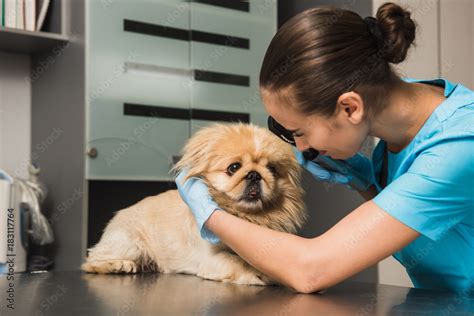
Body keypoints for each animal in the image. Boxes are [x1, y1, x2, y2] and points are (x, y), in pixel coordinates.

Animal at [81, 123, 308, 286]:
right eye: (234, 168)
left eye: (272, 169)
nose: (254, 174)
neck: (246, 216)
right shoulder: (212, 258)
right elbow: (237, 261)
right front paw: (257, 274)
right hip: (129, 243)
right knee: (91, 261)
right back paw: (119, 265)